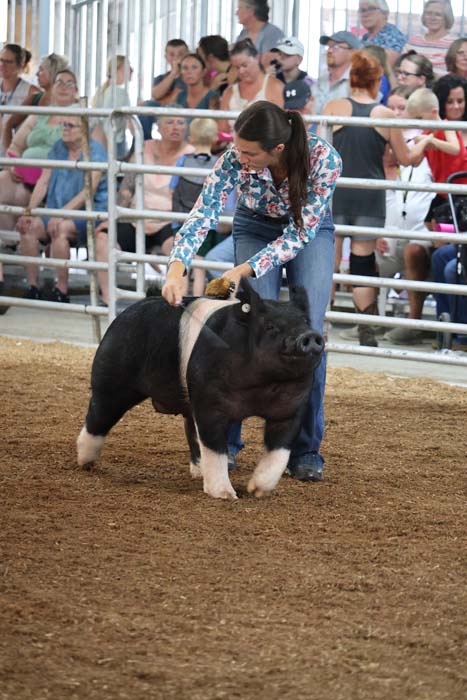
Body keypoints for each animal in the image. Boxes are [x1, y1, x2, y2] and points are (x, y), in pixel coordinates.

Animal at [77, 279, 324, 500]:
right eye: (271, 327)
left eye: (305, 321)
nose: (310, 335)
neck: (263, 384)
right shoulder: (209, 402)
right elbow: (215, 448)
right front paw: (226, 495)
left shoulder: (289, 410)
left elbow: (278, 453)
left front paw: (256, 490)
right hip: (112, 379)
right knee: (98, 416)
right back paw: (85, 462)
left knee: (190, 432)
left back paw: (197, 473)